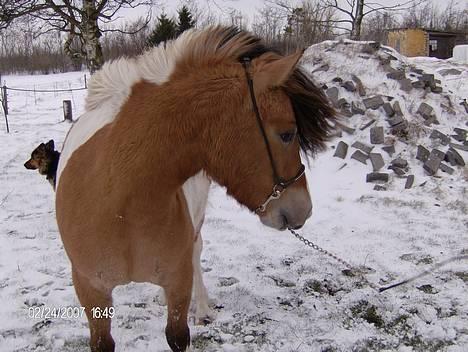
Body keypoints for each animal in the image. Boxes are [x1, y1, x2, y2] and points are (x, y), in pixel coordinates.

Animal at [54, 26, 334, 352]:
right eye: (287, 134)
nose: (304, 209)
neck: (120, 204)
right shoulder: (91, 292)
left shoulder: (178, 283)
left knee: (196, 253)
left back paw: (201, 308)